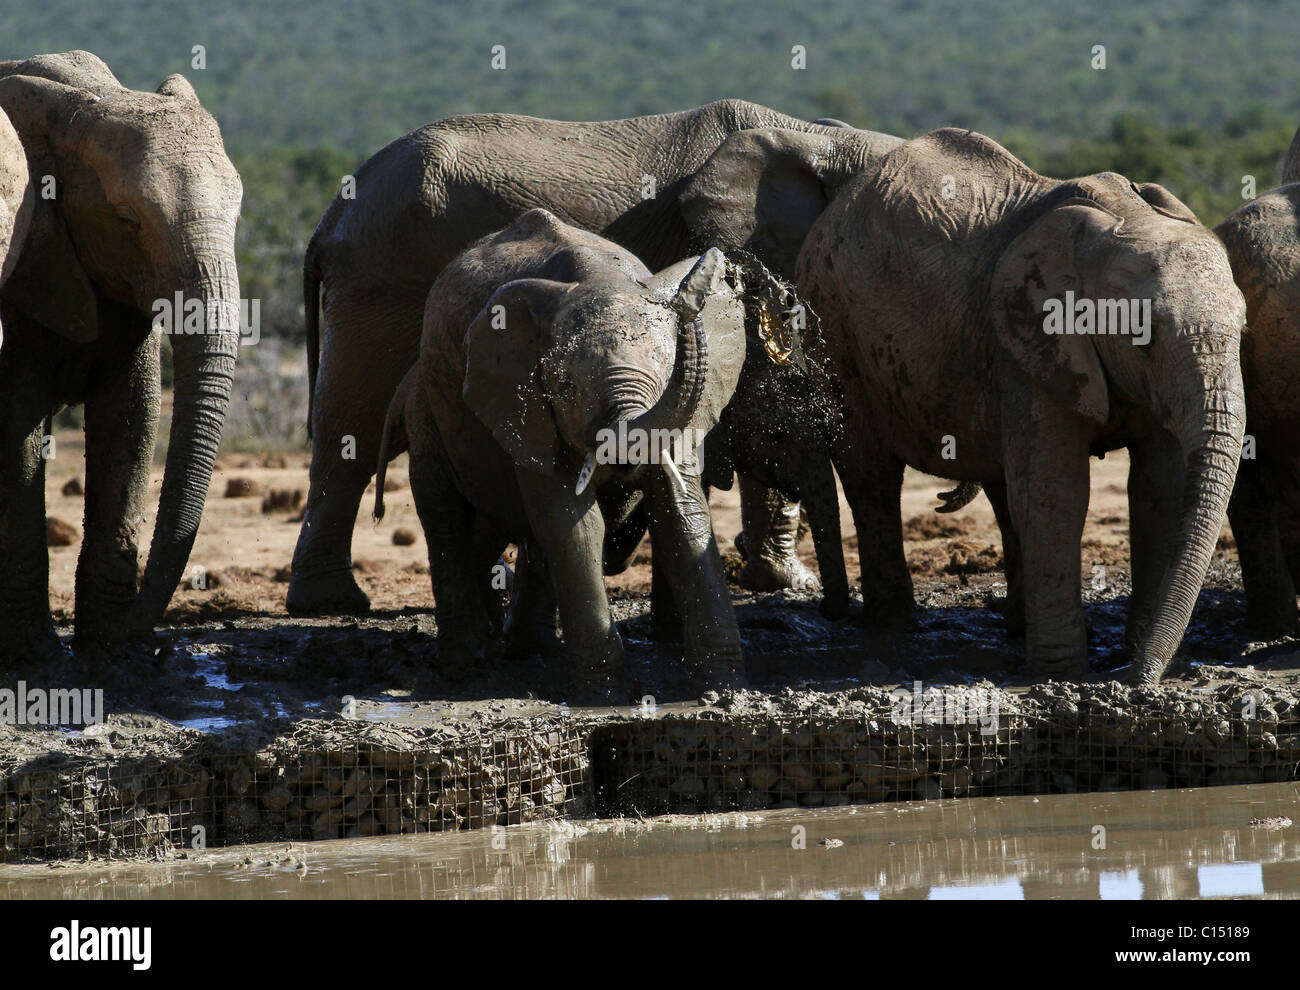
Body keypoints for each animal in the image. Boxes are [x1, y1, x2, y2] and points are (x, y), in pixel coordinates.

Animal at [0, 53, 243, 654]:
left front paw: (110, 647)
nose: (149, 636)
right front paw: (34, 653)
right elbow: (17, 423)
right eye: (128, 219)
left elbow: (133, 415)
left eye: (238, 216)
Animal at [292, 96, 904, 613]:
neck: (815, 136)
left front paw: (777, 581)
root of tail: (328, 219)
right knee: (352, 428)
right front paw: (790, 584)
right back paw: (331, 603)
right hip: (381, 278)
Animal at [377, 210, 821, 696]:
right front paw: (602, 694)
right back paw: (465, 666)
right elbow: (572, 522)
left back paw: (526, 648)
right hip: (428, 411)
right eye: (567, 387)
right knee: (445, 519)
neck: (601, 277)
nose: (695, 288)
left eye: (665, 370)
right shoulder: (531, 408)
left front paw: (723, 688)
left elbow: (681, 513)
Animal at [790, 129, 1248, 685]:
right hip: (833, 329)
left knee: (1003, 484)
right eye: (1145, 335)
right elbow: (1057, 491)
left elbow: (1158, 488)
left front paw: (1131, 657)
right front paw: (1063, 673)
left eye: (1244, 328)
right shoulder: (1029, 337)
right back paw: (891, 627)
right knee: (871, 474)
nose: (1138, 681)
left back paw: (1015, 627)